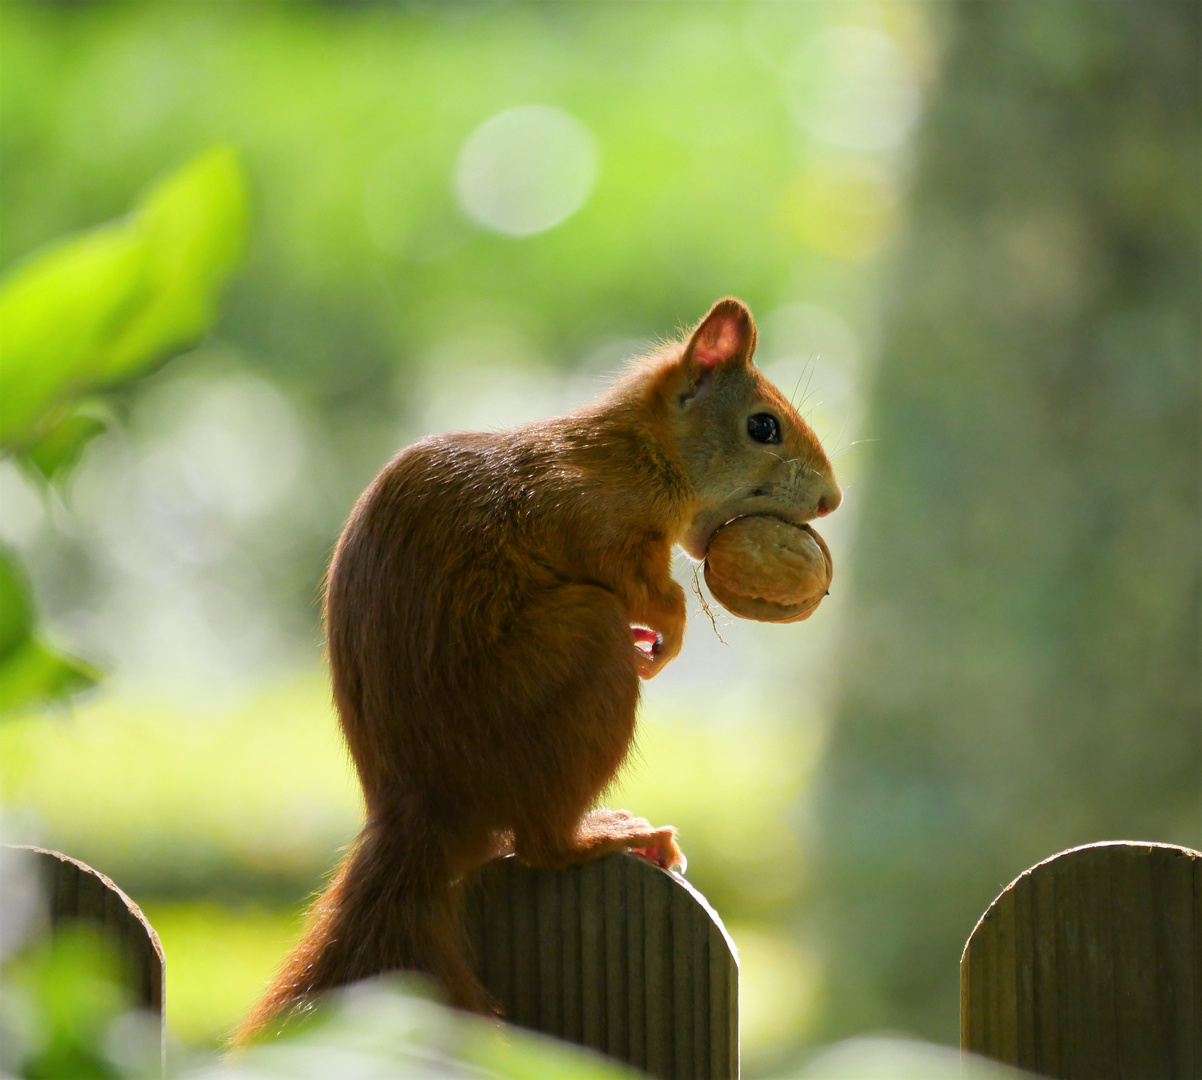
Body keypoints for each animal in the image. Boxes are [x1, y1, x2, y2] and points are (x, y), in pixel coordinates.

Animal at [234, 300, 836, 1042]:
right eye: (763, 426)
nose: (834, 500)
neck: (634, 455)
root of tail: (424, 808)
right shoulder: (582, 514)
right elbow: (636, 582)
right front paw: (667, 630)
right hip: (572, 660)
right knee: (541, 842)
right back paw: (607, 835)